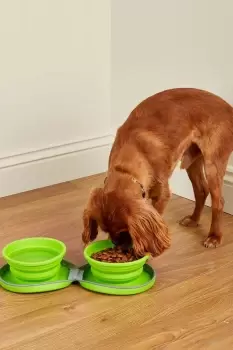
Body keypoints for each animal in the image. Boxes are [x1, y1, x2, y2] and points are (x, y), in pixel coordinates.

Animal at [81, 87, 233, 258]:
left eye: (124, 230)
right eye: (106, 230)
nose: (118, 247)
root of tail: (228, 107)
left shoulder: (162, 194)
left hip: (213, 164)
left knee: (218, 201)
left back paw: (214, 236)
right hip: (192, 160)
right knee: (201, 190)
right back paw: (193, 220)